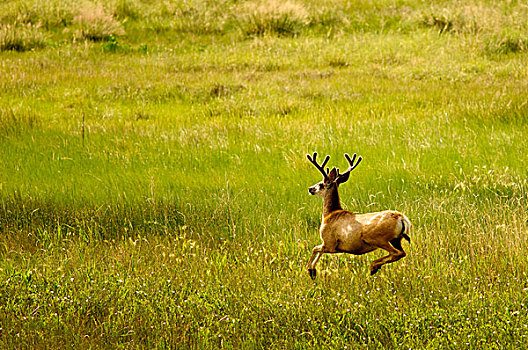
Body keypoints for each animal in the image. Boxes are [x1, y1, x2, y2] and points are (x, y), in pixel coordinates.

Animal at [304, 152, 410, 280]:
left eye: (321, 184)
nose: (310, 189)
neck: (330, 214)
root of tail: (401, 218)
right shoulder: (331, 246)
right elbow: (317, 251)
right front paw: (312, 271)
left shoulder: (330, 243)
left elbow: (315, 249)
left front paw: (311, 270)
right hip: (396, 239)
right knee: (402, 252)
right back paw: (374, 266)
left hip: (376, 238)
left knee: (396, 253)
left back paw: (373, 266)